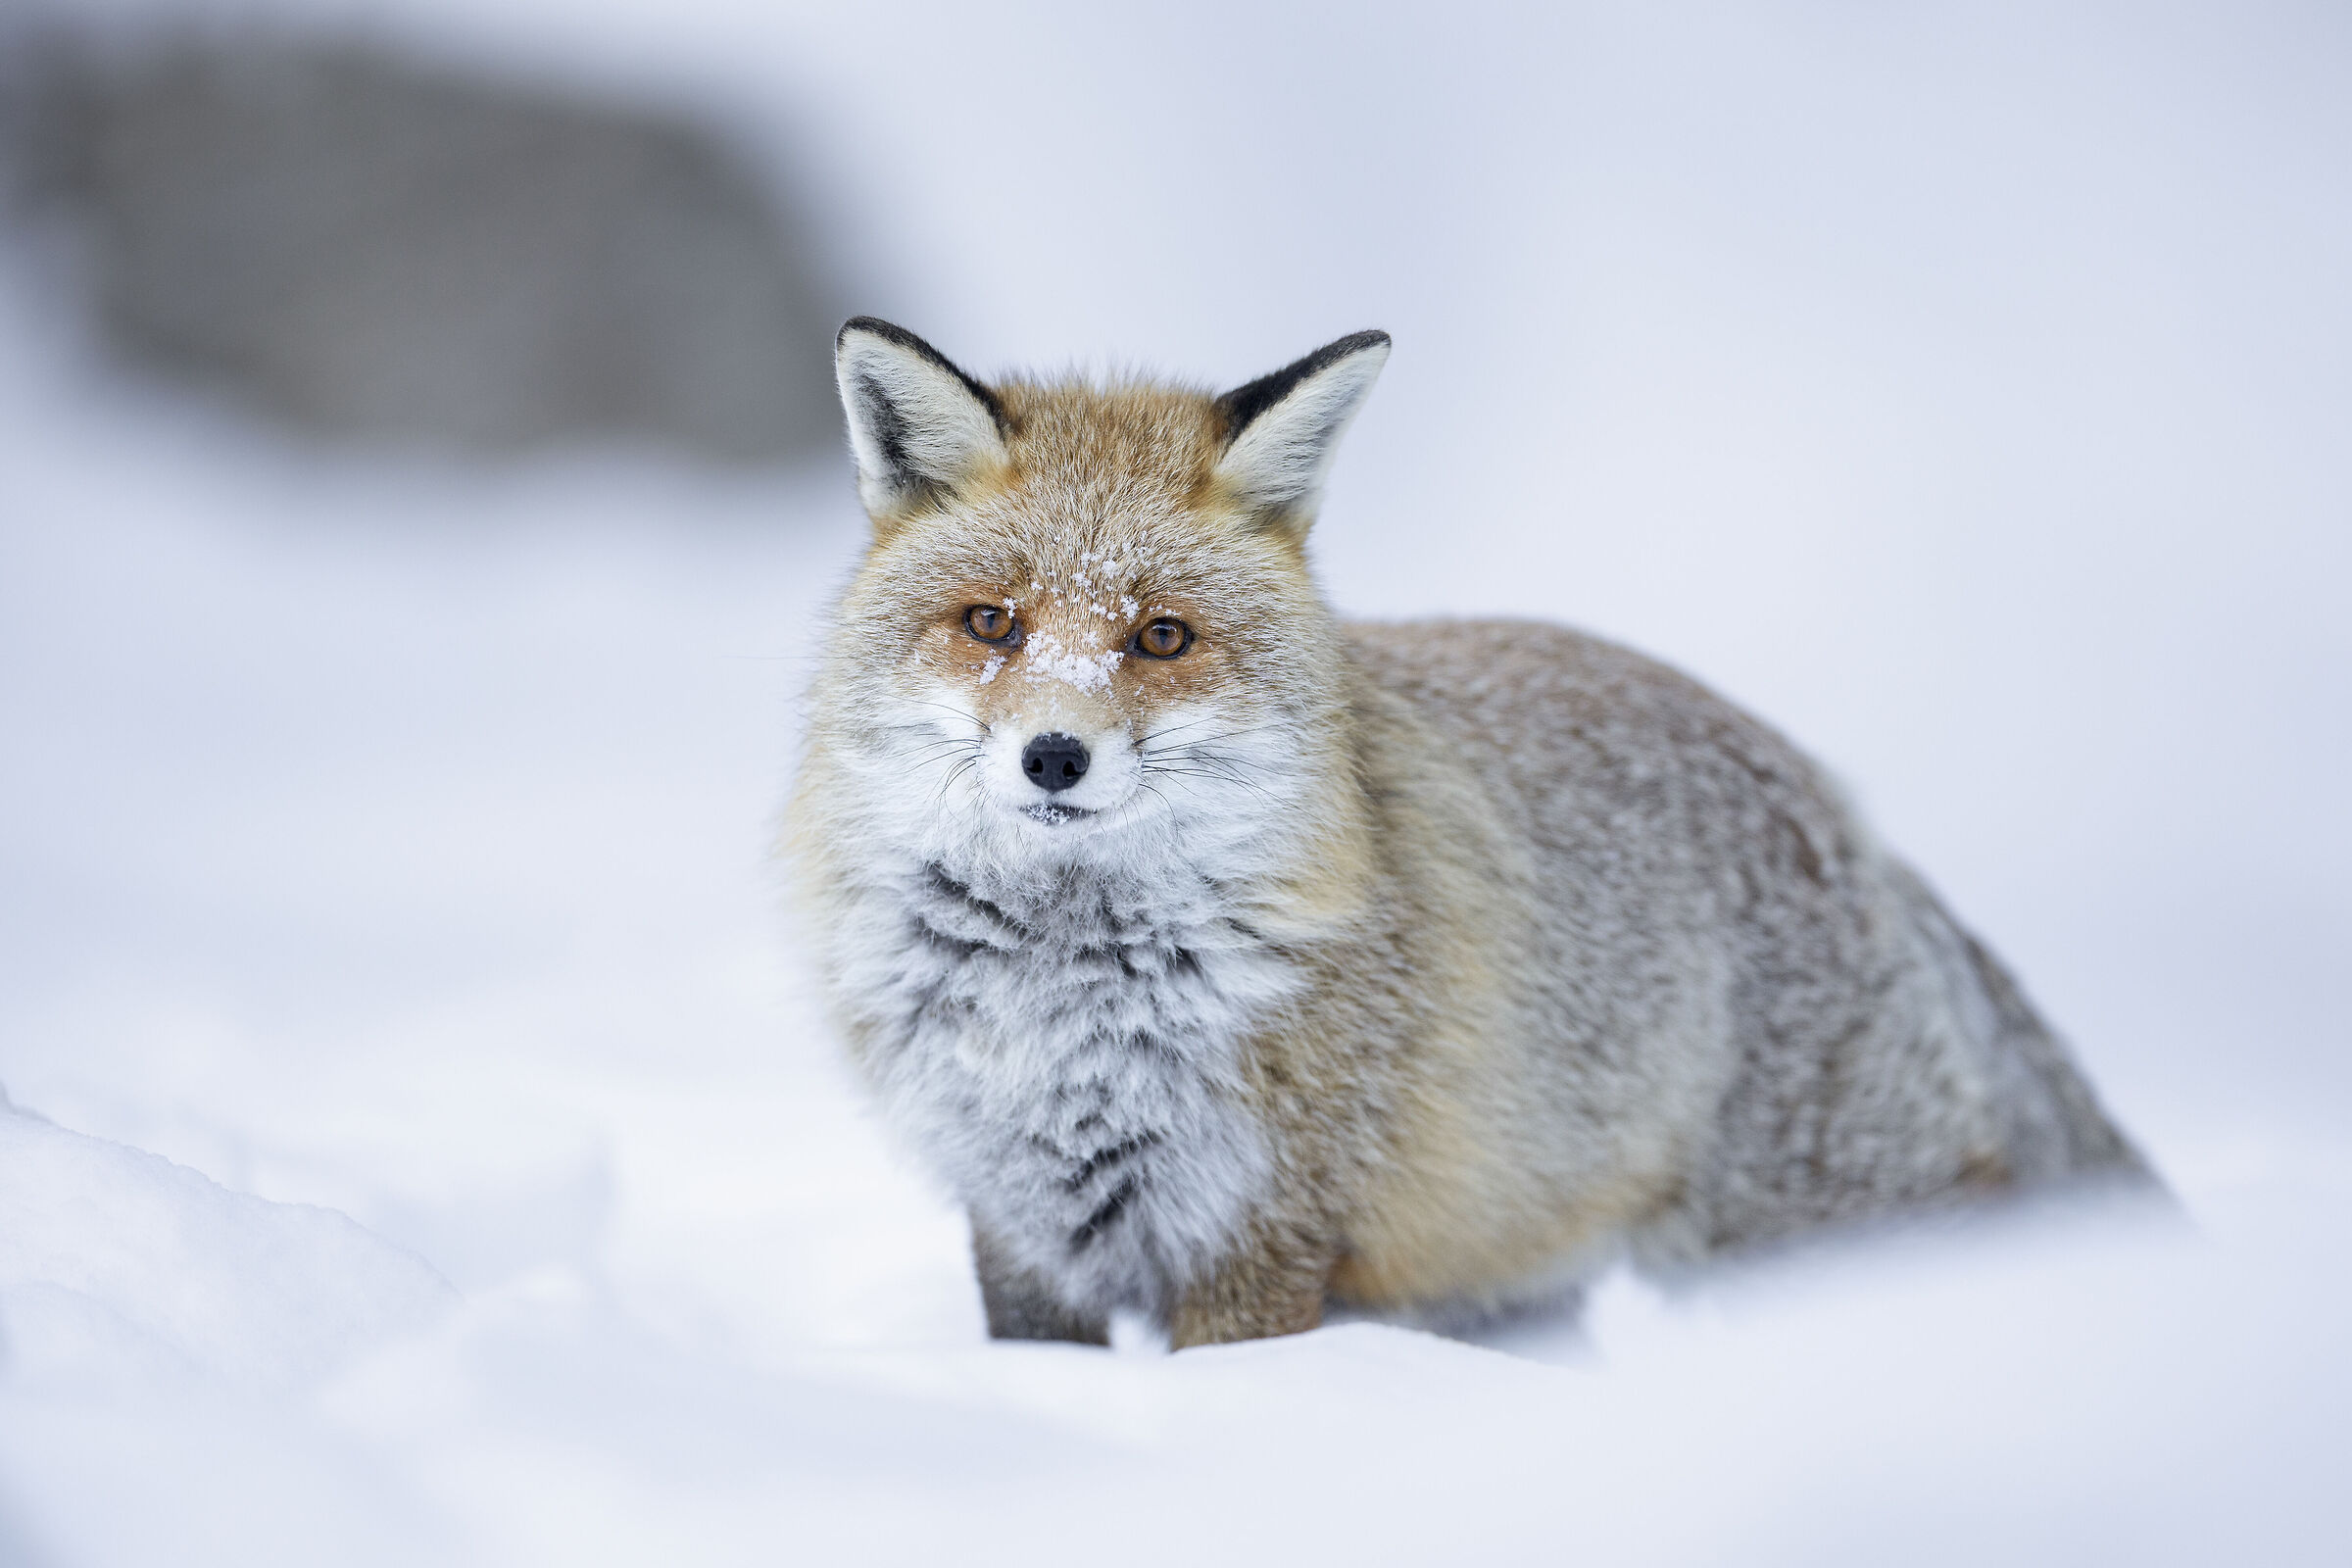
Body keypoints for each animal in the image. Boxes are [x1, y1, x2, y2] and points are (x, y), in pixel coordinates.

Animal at [787, 318, 2152, 1349]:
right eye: (994, 622)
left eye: (1161, 637)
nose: (1054, 756)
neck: (1065, 1001)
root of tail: (1837, 797)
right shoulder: (1017, 1228)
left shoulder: (1263, 1231)